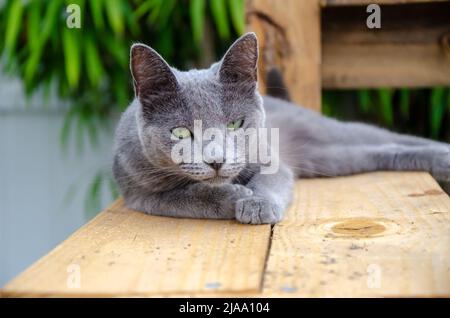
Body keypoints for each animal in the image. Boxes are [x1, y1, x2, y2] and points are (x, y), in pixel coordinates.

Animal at [111, 33, 446, 224]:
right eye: (180, 133)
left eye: (235, 123)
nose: (216, 160)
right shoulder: (140, 192)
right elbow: (185, 196)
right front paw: (233, 197)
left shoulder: (271, 159)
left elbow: (270, 179)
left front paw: (256, 203)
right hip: (329, 158)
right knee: (380, 151)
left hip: (326, 134)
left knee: (383, 138)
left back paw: (444, 157)